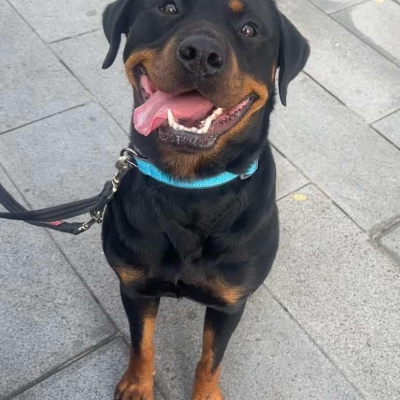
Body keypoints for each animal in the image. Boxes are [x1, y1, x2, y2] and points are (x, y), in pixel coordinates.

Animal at [101, 1, 310, 398]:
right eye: (168, 8)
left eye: (249, 29)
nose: (201, 53)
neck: (189, 187)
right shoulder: (135, 286)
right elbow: (142, 344)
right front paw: (138, 383)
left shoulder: (229, 304)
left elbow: (210, 359)